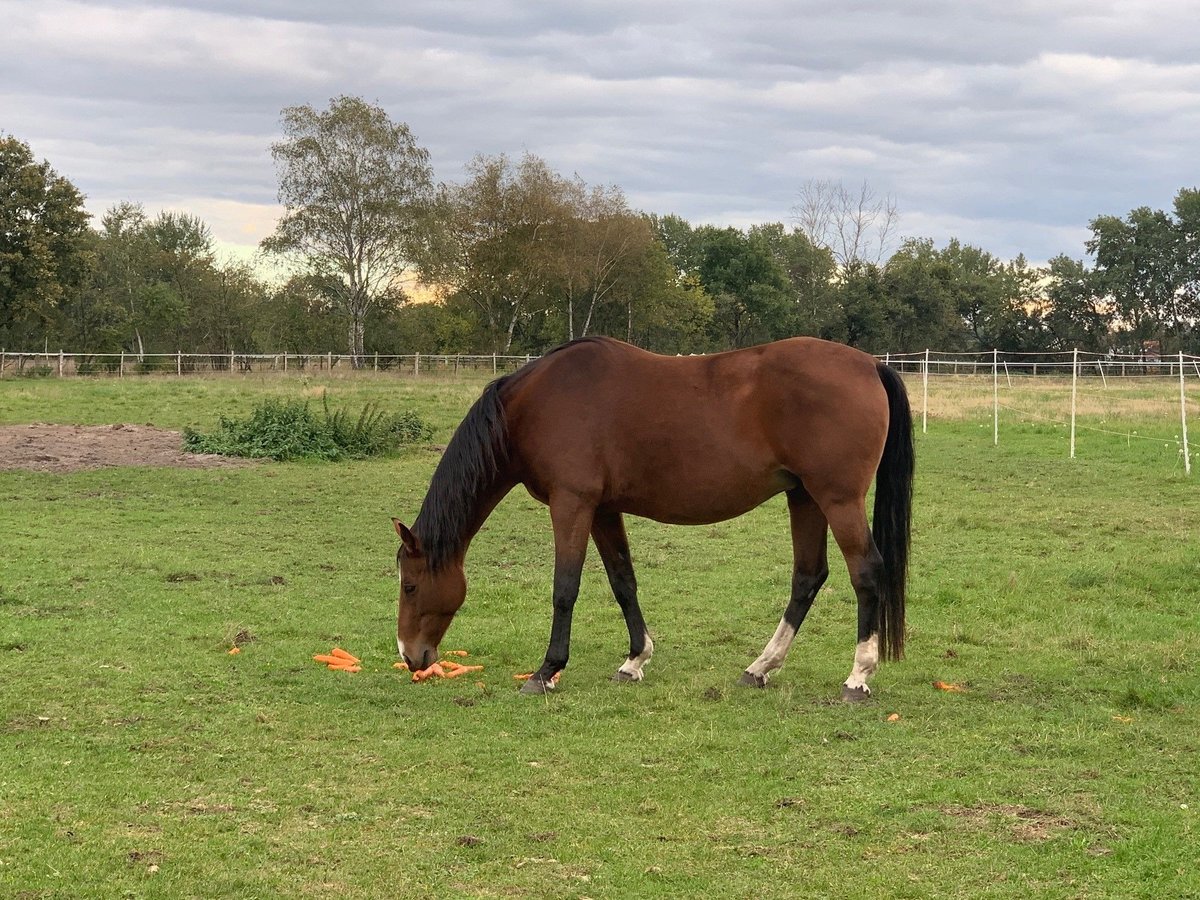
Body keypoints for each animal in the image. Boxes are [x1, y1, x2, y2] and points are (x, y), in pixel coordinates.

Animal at [391, 336, 907, 700]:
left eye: (410, 585)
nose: (411, 657)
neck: (535, 405)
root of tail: (870, 364)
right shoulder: (603, 510)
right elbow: (623, 582)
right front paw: (635, 660)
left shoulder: (572, 503)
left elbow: (565, 588)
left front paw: (547, 671)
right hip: (804, 498)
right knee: (807, 577)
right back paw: (759, 668)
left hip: (837, 499)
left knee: (866, 573)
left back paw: (857, 677)